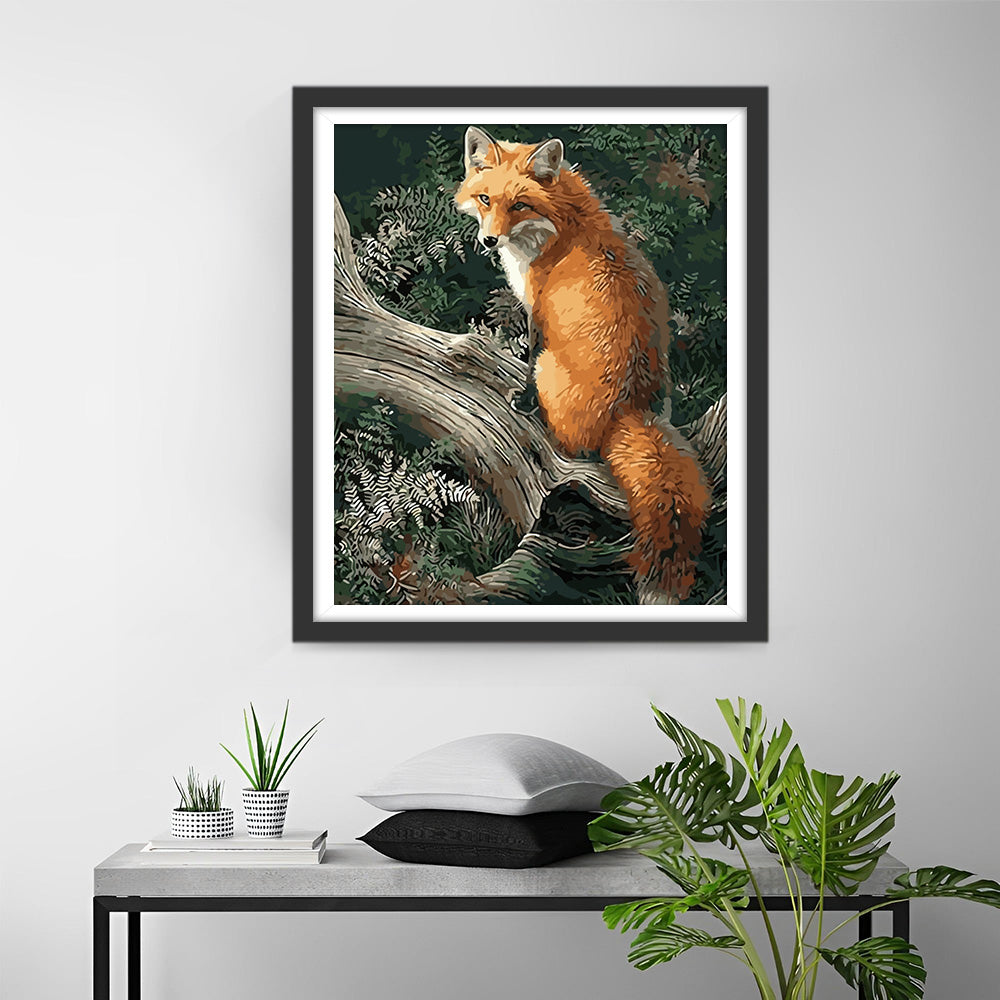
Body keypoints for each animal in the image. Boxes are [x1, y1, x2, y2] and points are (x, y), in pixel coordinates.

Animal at [455, 126, 711, 600]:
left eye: (519, 205)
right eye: (485, 200)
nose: (488, 241)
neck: (563, 225)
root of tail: (631, 410)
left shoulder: (537, 312)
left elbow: (528, 357)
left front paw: (522, 399)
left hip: (551, 370)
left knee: (570, 443)